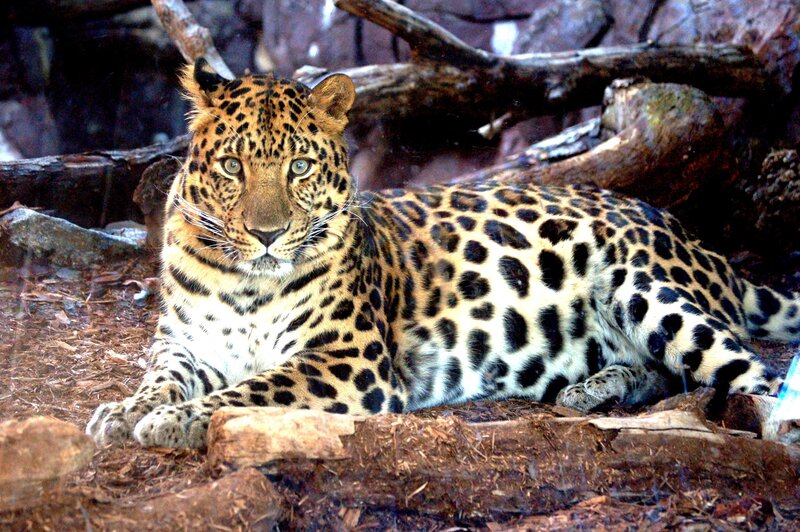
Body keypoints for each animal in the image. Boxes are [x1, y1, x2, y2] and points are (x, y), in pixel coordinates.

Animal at [87, 58, 799, 449]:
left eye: (298, 167)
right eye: (233, 166)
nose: (266, 234)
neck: (246, 283)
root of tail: (692, 235)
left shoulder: (346, 360)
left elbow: (256, 390)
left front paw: (176, 421)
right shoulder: (185, 343)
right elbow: (160, 377)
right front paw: (126, 411)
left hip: (647, 291)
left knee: (750, 372)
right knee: (665, 375)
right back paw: (592, 390)